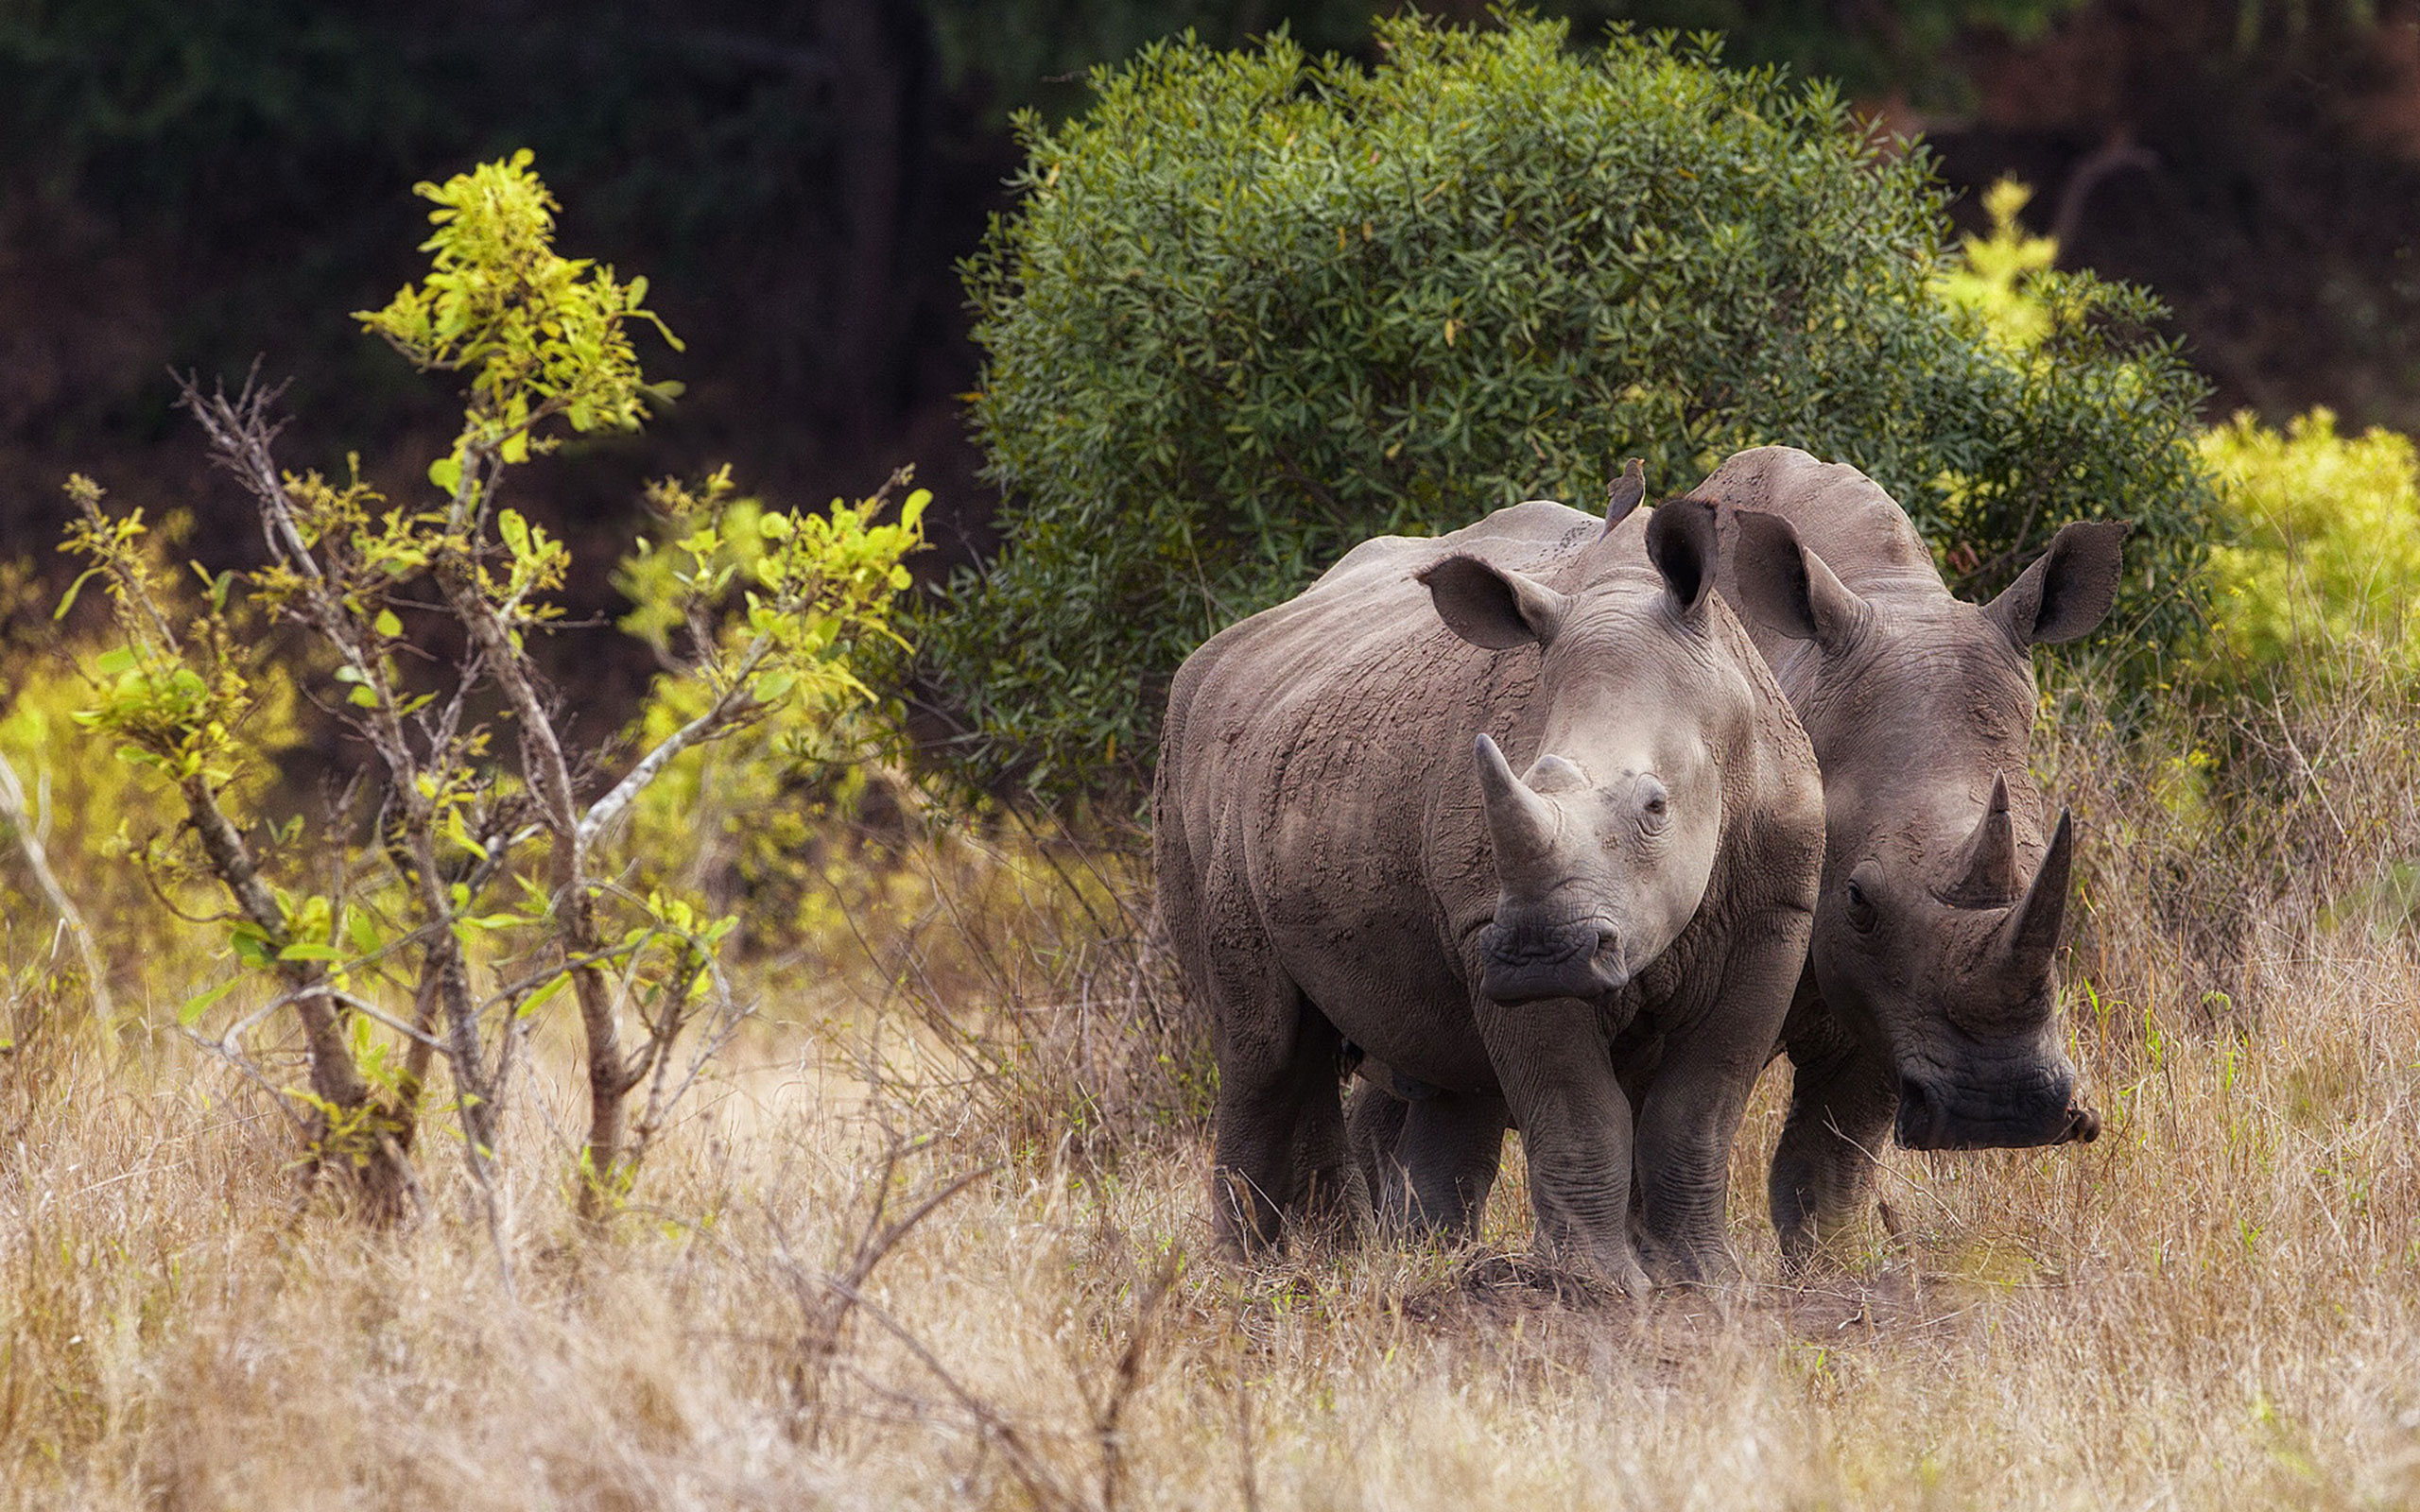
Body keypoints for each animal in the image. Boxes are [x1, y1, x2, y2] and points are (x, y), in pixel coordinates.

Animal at [1154, 492, 1826, 1294]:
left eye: (1656, 807)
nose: (1541, 956)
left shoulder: (1774, 914)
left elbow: (1698, 1113)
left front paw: (1706, 1284)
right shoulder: (1484, 923)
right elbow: (1576, 1108)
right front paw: (1598, 1289)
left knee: (1432, 1062)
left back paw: (1398, 1260)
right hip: (1203, 781)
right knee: (1266, 1044)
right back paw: (1251, 1276)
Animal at [1695, 446, 2114, 1264]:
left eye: (2051, 874)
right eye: (1858, 898)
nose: (2000, 1112)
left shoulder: (1894, 1003)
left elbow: (1825, 1174)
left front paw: (1827, 1269)